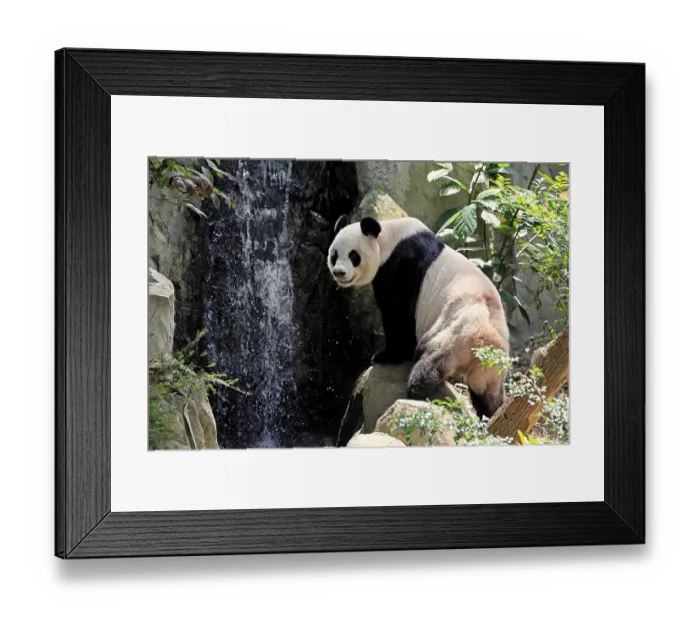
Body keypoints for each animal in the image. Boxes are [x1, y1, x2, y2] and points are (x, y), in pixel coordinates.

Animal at [328, 214, 510, 420]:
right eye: (334, 255)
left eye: (354, 256)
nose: (339, 272)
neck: (388, 239)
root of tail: (485, 339)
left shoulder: (401, 268)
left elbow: (398, 315)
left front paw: (385, 356)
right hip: (492, 365)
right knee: (487, 393)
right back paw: (492, 413)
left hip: (455, 331)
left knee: (431, 359)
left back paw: (416, 391)